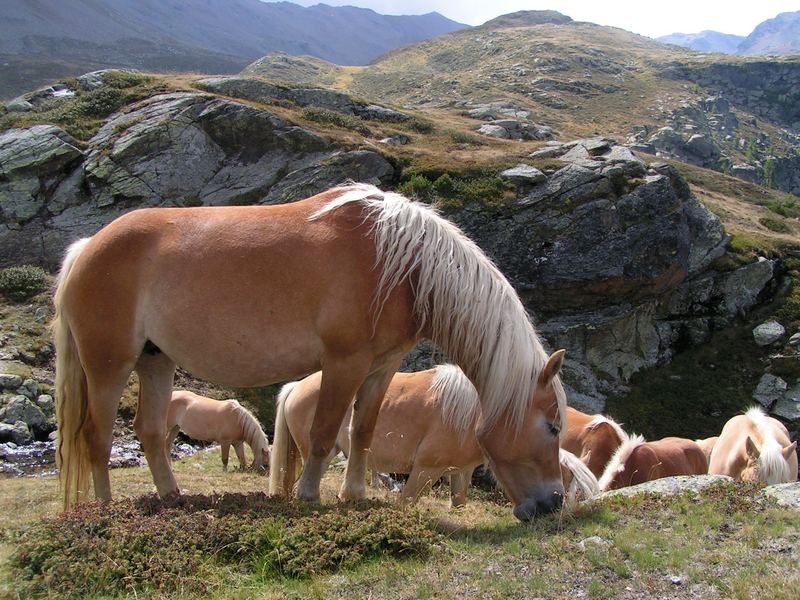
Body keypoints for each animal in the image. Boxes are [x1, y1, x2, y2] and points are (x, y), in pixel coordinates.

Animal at [272, 364, 596, 508]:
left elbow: (459, 502)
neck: (470, 416)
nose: (557, 501)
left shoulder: (460, 472)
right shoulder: (425, 471)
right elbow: (405, 503)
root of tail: (296, 387)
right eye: (553, 427)